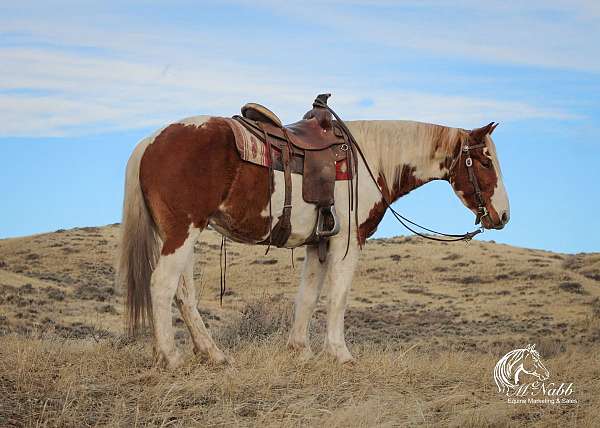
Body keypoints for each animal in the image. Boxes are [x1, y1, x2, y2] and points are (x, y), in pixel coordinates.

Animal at [118, 95, 510, 366]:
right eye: (486, 161)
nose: (503, 215)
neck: (367, 161)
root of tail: (149, 142)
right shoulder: (348, 241)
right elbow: (338, 296)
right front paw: (340, 354)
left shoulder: (317, 243)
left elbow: (307, 296)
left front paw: (301, 350)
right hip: (182, 233)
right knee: (162, 285)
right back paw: (171, 357)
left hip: (179, 234)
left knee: (184, 294)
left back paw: (213, 355)